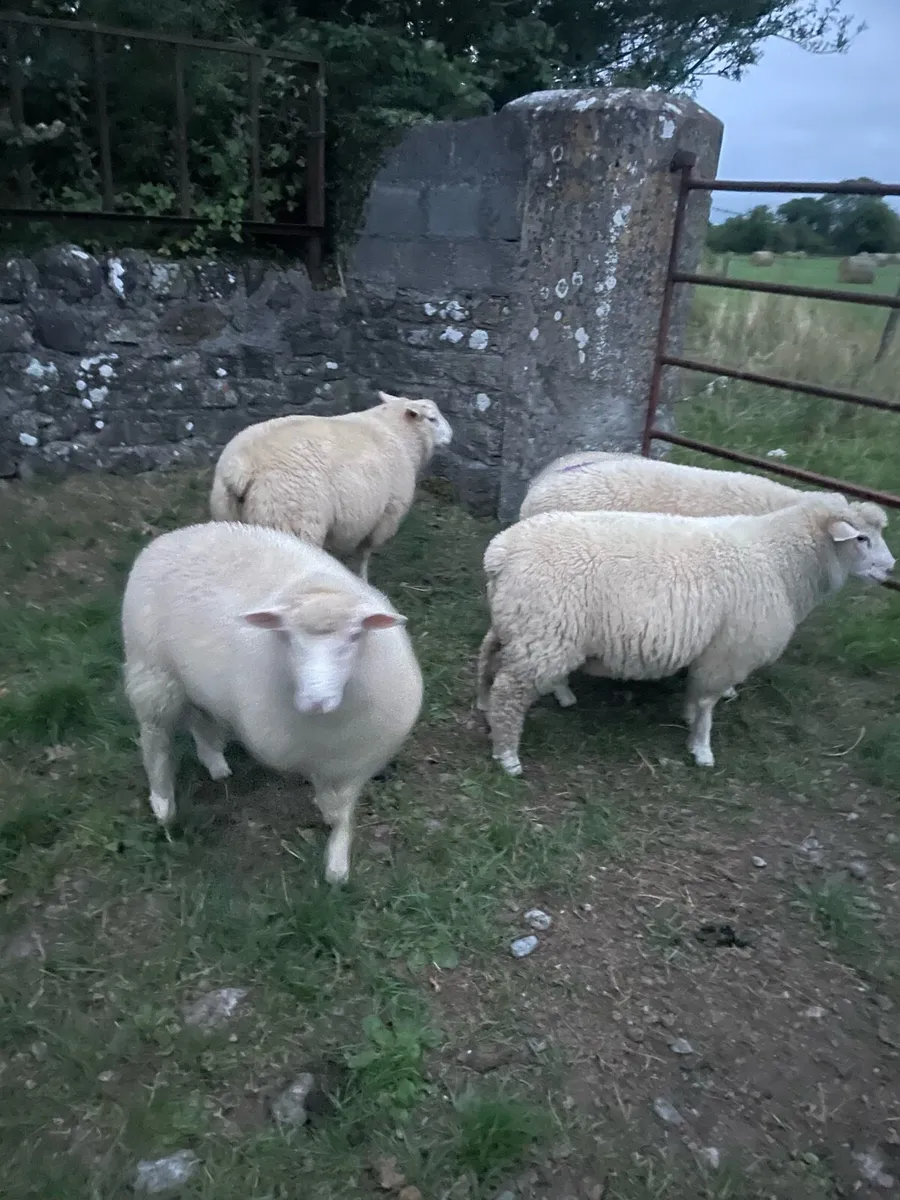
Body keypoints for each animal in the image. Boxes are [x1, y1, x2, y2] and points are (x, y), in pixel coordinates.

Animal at [121, 520, 424, 883]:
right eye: (287, 636)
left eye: (354, 636)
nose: (315, 700)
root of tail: (178, 534)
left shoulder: (353, 758)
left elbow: (341, 812)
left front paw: (337, 863)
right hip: (152, 672)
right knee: (156, 739)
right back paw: (164, 804)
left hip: (194, 680)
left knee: (201, 718)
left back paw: (215, 763)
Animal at [209, 391, 453, 582]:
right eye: (432, 419)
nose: (451, 436)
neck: (397, 432)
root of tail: (242, 466)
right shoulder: (384, 516)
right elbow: (364, 555)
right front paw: (363, 581)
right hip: (290, 522)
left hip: (230, 518)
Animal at [476, 493, 893, 777]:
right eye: (862, 539)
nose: (890, 568)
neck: (780, 561)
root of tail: (501, 552)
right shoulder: (727, 651)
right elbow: (707, 702)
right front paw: (701, 748)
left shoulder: (716, 652)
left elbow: (699, 697)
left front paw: (691, 721)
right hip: (546, 631)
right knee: (509, 694)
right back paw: (508, 756)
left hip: (525, 626)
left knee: (486, 657)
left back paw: (496, 704)